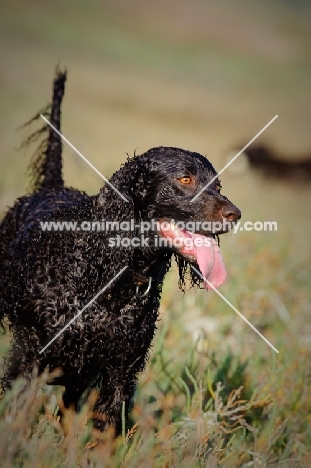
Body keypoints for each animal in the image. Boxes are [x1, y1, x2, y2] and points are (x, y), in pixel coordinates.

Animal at [0, 71, 241, 434]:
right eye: (185, 179)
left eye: (218, 185)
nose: (235, 215)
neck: (105, 278)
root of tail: (52, 188)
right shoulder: (27, 360)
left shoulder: (120, 373)